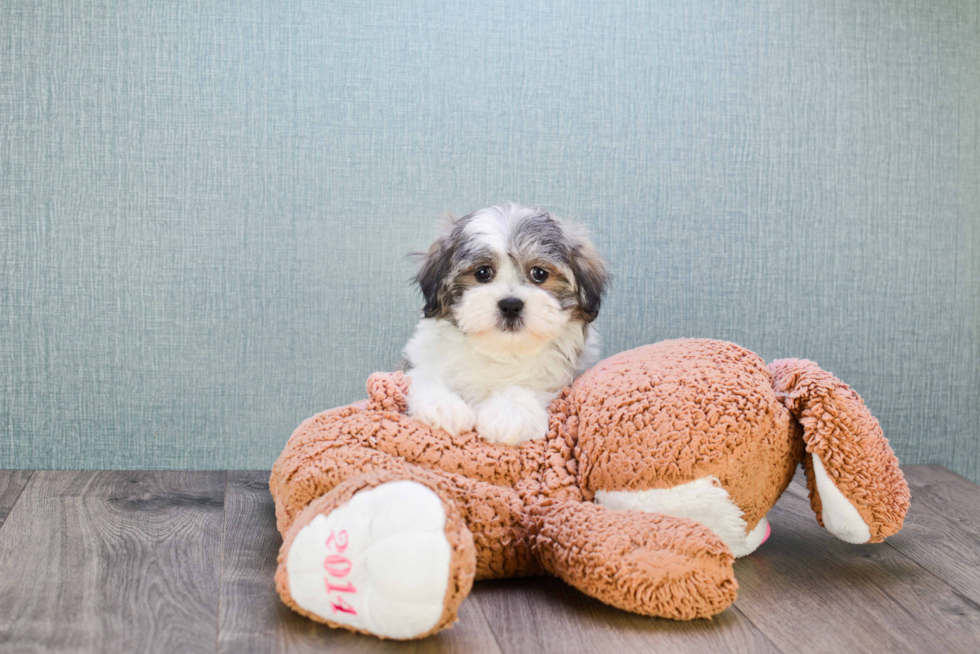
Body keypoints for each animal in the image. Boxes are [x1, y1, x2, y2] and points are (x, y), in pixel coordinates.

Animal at [404, 205, 604, 448]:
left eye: (539, 273)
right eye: (483, 272)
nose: (510, 305)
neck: (502, 353)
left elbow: (526, 387)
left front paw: (509, 412)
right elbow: (427, 376)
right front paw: (442, 407)